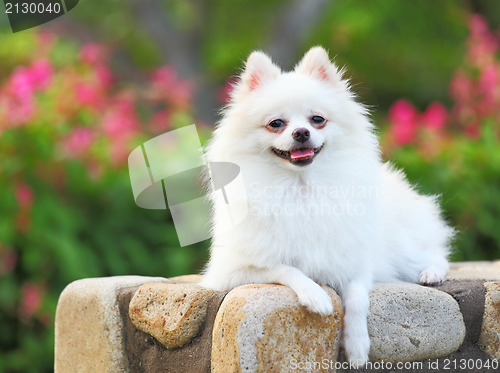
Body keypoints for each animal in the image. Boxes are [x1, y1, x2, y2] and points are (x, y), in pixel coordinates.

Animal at [199, 46, 454, 364]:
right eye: (276, 124)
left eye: (317, 119)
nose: (301, 132)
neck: (302, 189)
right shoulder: (235, 270)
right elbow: (286, 269)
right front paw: (315, 295)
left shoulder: (355, 263)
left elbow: (357, 298)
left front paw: (357, 346)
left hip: (400, 248)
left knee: (435, 254)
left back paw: (431, 273)